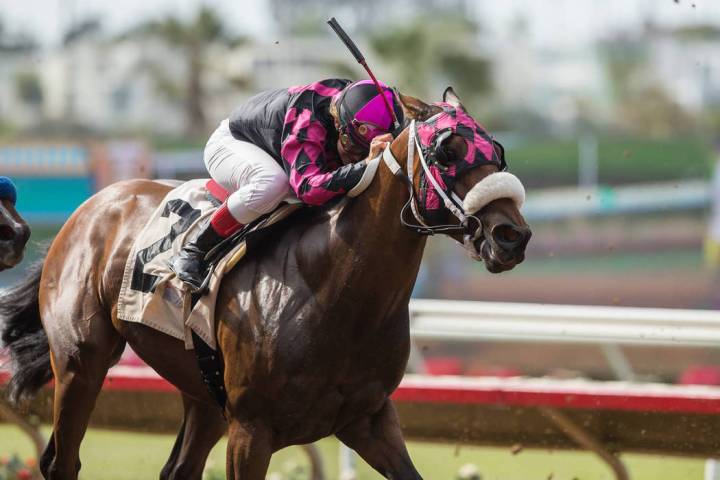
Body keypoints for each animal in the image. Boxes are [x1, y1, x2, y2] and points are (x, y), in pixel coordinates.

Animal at [0, 88, 528, 478]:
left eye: (497, 151)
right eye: (447, 150)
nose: (513, 236)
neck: (336, 292)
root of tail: (91, 206)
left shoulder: (369, 418)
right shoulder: (252, 429)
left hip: (203, 393)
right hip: (81, 362)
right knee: (60, 460)